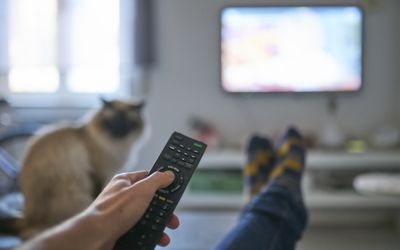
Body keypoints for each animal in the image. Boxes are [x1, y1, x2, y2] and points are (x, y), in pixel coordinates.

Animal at [18, 97, 145, 238]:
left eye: (128, 123)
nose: (120, 132)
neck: (116, 146)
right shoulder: (99, 174)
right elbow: (98, 193)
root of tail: (26, 220)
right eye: (112, 122)